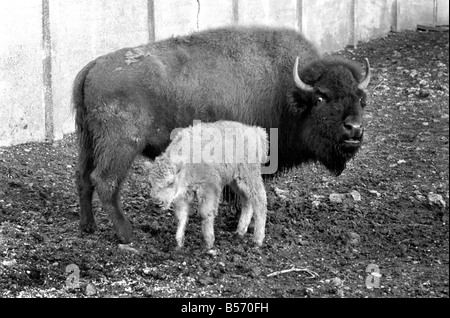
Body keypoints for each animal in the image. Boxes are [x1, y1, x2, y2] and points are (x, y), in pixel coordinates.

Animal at [145, 120, 268, 250]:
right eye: (150, 183)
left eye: (171, 183)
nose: (158, 203)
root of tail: (256, 131)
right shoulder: (183, 194)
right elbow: (181, 216)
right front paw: (179, 243)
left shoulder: (209, 188)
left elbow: (205, 213)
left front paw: (208, 243)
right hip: (235, 181)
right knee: (247, 201)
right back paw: (240, 232)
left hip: (249, 176)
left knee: (260, 200)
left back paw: (257, 240)